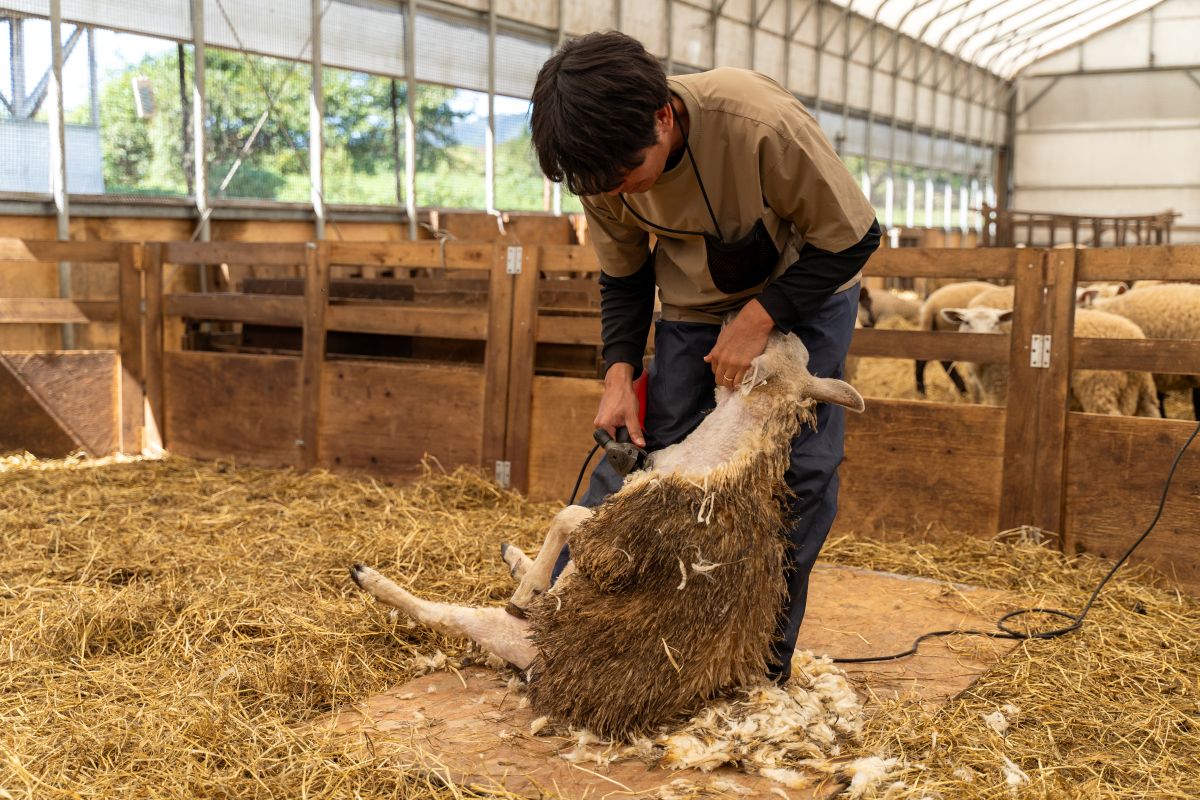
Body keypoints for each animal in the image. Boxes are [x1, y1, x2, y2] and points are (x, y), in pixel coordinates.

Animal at [348, 328, 864, 743]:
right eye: (792, 349)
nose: (782, 324)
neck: (724, 452)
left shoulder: (621, 544)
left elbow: (569, 514)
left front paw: (530, 584)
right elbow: (569, 520)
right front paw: (528, 572)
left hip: (508, 634)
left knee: (448, 614)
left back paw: (374, 577)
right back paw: (514, 559)